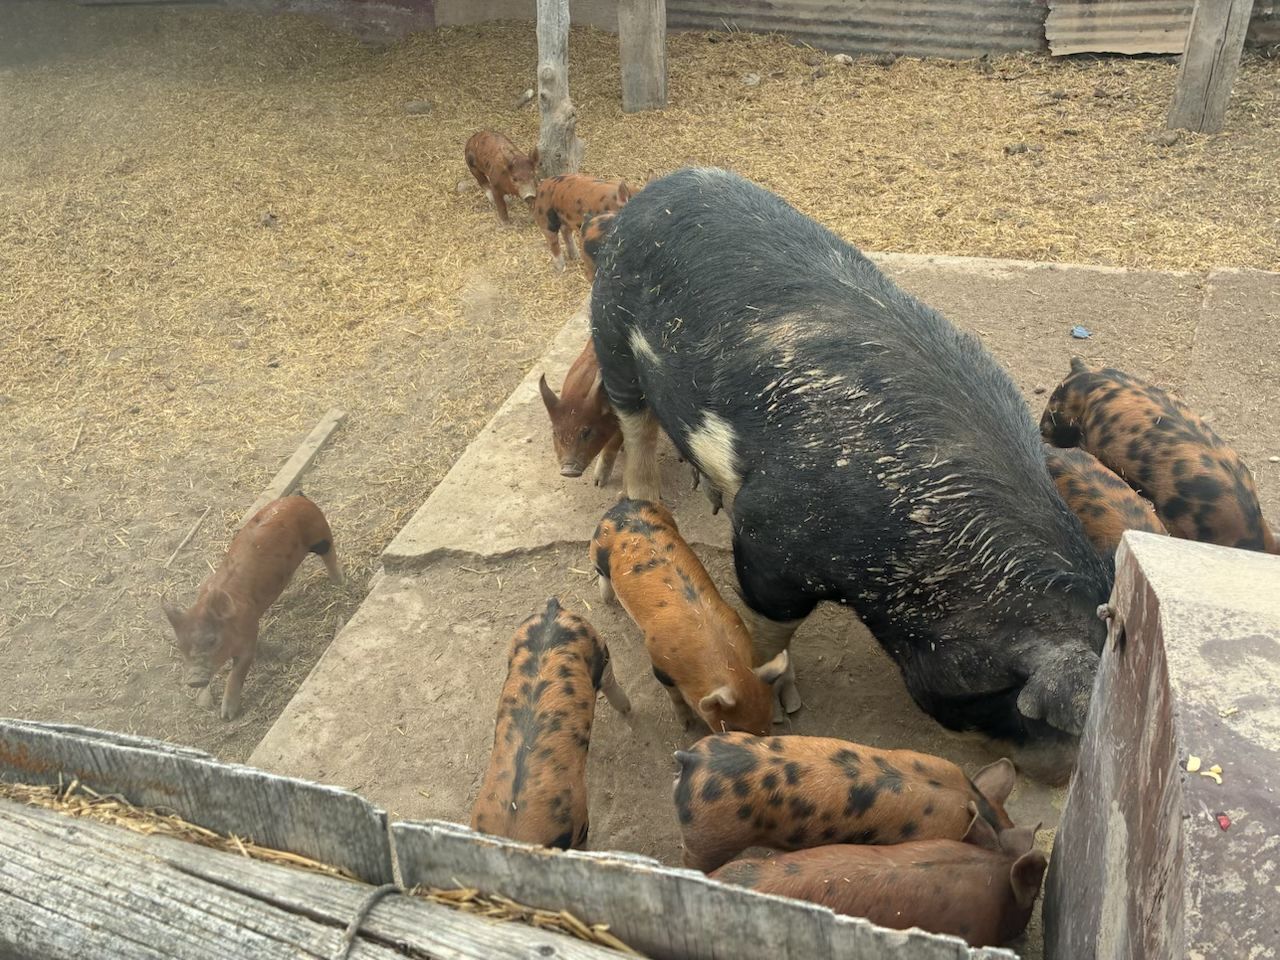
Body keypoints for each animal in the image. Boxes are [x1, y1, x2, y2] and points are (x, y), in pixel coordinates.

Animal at [163, 493, 343, 720]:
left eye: (212, 640)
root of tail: (297, 497)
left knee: (330, 553)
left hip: (320, 533)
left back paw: (339, 582)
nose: (194, 680)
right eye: (181, 646)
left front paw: (227, 716)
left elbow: (237, 672)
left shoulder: (248, 635)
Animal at [589, 498, 789, 736]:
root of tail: (624, 505)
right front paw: (686, 725)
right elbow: (675, 696)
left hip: (669, 519)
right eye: (731, 727)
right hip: (597, 547)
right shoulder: (658, 662)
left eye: (768, 722)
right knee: (601, 572)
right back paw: (607, 598)